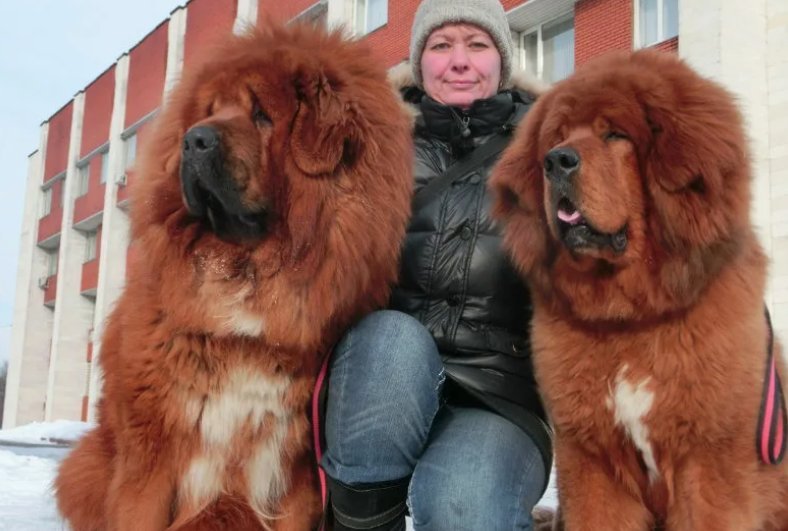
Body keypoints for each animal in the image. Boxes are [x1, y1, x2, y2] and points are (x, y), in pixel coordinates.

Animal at [54, 22, 412, 528]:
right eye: (210, 111)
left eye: (262, 115)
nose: (193, 140)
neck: (246, 280)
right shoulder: (148, 464)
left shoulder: (297, 477)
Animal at [492, 51, 788, 531]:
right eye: (557, 137)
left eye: (615, 134)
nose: (555, 161)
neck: (631, 320)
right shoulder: (593, 461)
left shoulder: (708, 463)